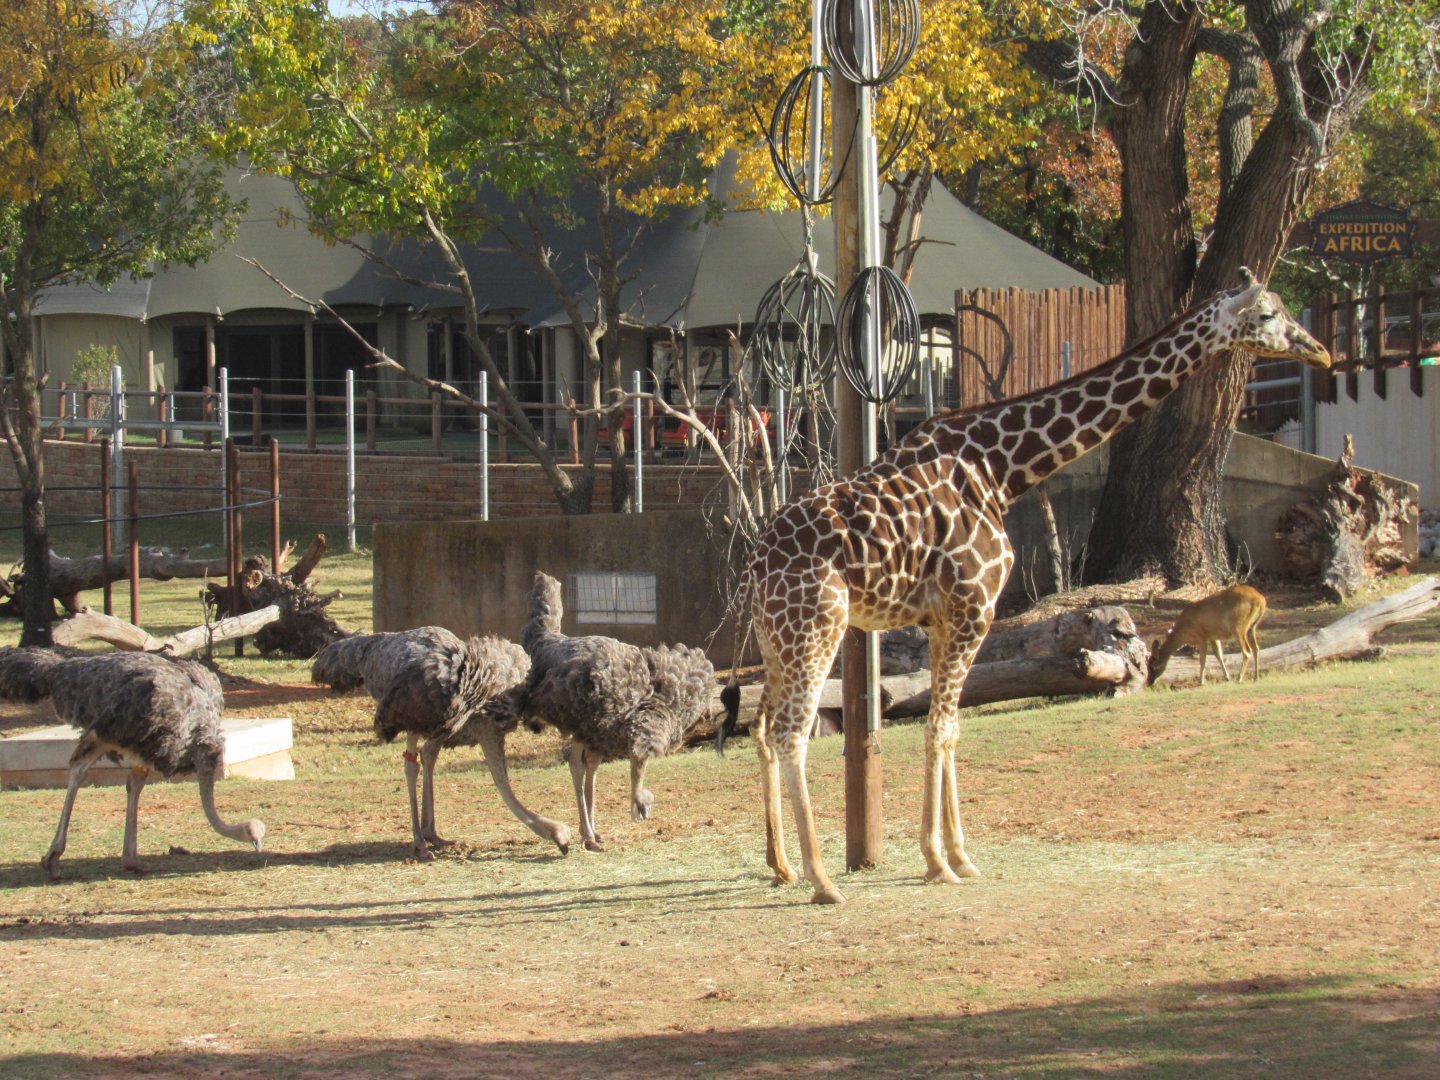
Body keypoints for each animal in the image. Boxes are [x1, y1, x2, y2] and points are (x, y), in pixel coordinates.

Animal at [742, 271, 1331, 904]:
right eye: (1268, 315)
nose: (1320, 351)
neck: (1001, 468)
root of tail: (757, 558)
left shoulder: (943, 619)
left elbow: (951, 729)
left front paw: (961, 856)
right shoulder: (974, 606)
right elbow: (940, 726)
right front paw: (938, 860)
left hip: (776, 639)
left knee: (762, 726)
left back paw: (783, 865)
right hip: (816, 628)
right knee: (792, 733)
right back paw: (823, 880)